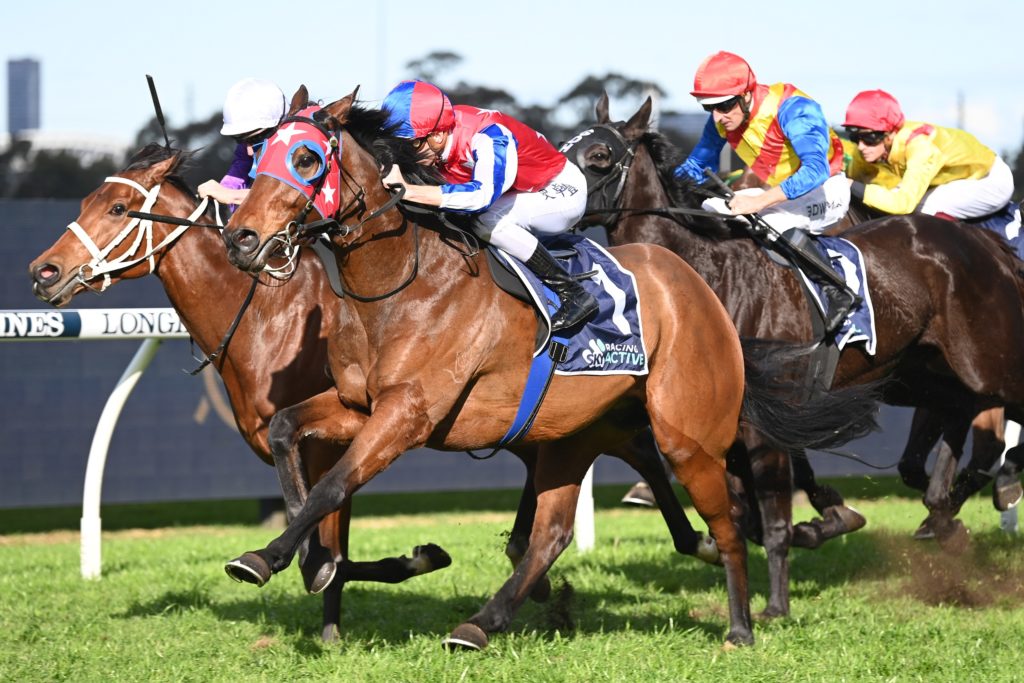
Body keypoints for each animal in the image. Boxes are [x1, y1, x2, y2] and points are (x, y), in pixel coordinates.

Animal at [216, 86, 880, 648]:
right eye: (257, 158)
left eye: (305, 158)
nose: (241, 238)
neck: (400, 281)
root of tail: (696, 286)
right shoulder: (359, 405)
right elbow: (288, 434)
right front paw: (306, 560)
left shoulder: (409, 414)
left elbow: (335, 482)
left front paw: (267, 558)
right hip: (575, 432)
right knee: (551, 535)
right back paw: (479, 625)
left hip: (687, 434)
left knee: (728, 523)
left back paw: (742, 626)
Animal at [560, 94, 1024, 618]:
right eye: (564, 145)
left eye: (600, 156)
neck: (709, 277)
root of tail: (983, 242)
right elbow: (743, 513)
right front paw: (817, 527)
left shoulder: (766, 419)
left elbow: (773, 516)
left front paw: (777, 604)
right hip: (917, 373)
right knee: (957, 409)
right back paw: (944, 512)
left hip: (988, 359)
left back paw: (991, 488)